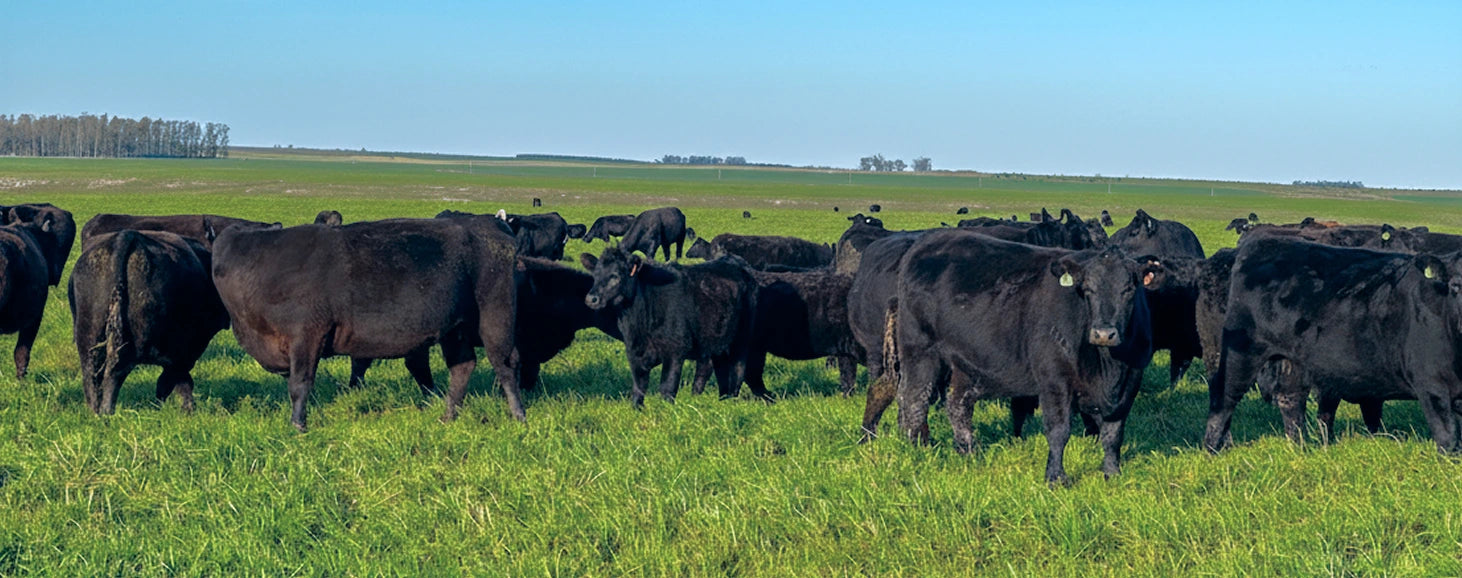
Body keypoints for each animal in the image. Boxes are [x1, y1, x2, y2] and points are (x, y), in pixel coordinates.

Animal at [69, 230, 230, 414]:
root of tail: (126, 236)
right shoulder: (185, 353)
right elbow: (176, 381)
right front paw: (187, 409)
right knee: (115, 372)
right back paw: (106, 411)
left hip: (89, 340)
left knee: (91, 375)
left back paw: (95, 411)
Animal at [211, 218, 523, 431]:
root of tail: (489, 224)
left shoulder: (306, 335)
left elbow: (300, 384)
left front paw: (298, 425)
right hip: (455, 329)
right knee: (462, 367)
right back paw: (448, 416)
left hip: (496, 316)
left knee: (505, 364)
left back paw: (518, 415)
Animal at [581, 248, 761, 406]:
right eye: (595, 275)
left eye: (615, 276)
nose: (591, 298)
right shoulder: (634, 353)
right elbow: (638, 389)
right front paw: (637, 409)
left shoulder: (675, 351)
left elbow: (667, 388)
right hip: (714, 342)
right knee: (712, 370)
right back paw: (715, 399)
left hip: (742, 338)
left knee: (737, 369)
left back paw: (731, 400)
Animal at [873, 230, 1154, 484]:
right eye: (1087, 289)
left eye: (1129, 289)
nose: (1103, 333)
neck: (1109, 367)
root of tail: (923, 243)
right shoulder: (1054, 378)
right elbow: (1059, 430)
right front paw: (1056, 477)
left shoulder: (1131, 380)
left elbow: (1113, 432)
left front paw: (1112, 473)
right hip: (920, 350)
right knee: (913, 399)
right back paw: (916, 448)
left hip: (966, 361)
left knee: (958, 405)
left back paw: (968, 451)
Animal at [1206, 237, 1462, 455]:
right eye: (1456, 286)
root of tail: (1255, 245)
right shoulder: (1431, 385)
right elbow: (1447, 436)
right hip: (1243, 349)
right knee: (1224, 395)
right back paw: (1213, 448)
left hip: (1292, 359)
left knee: (1291, 399)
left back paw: (1301, 448)